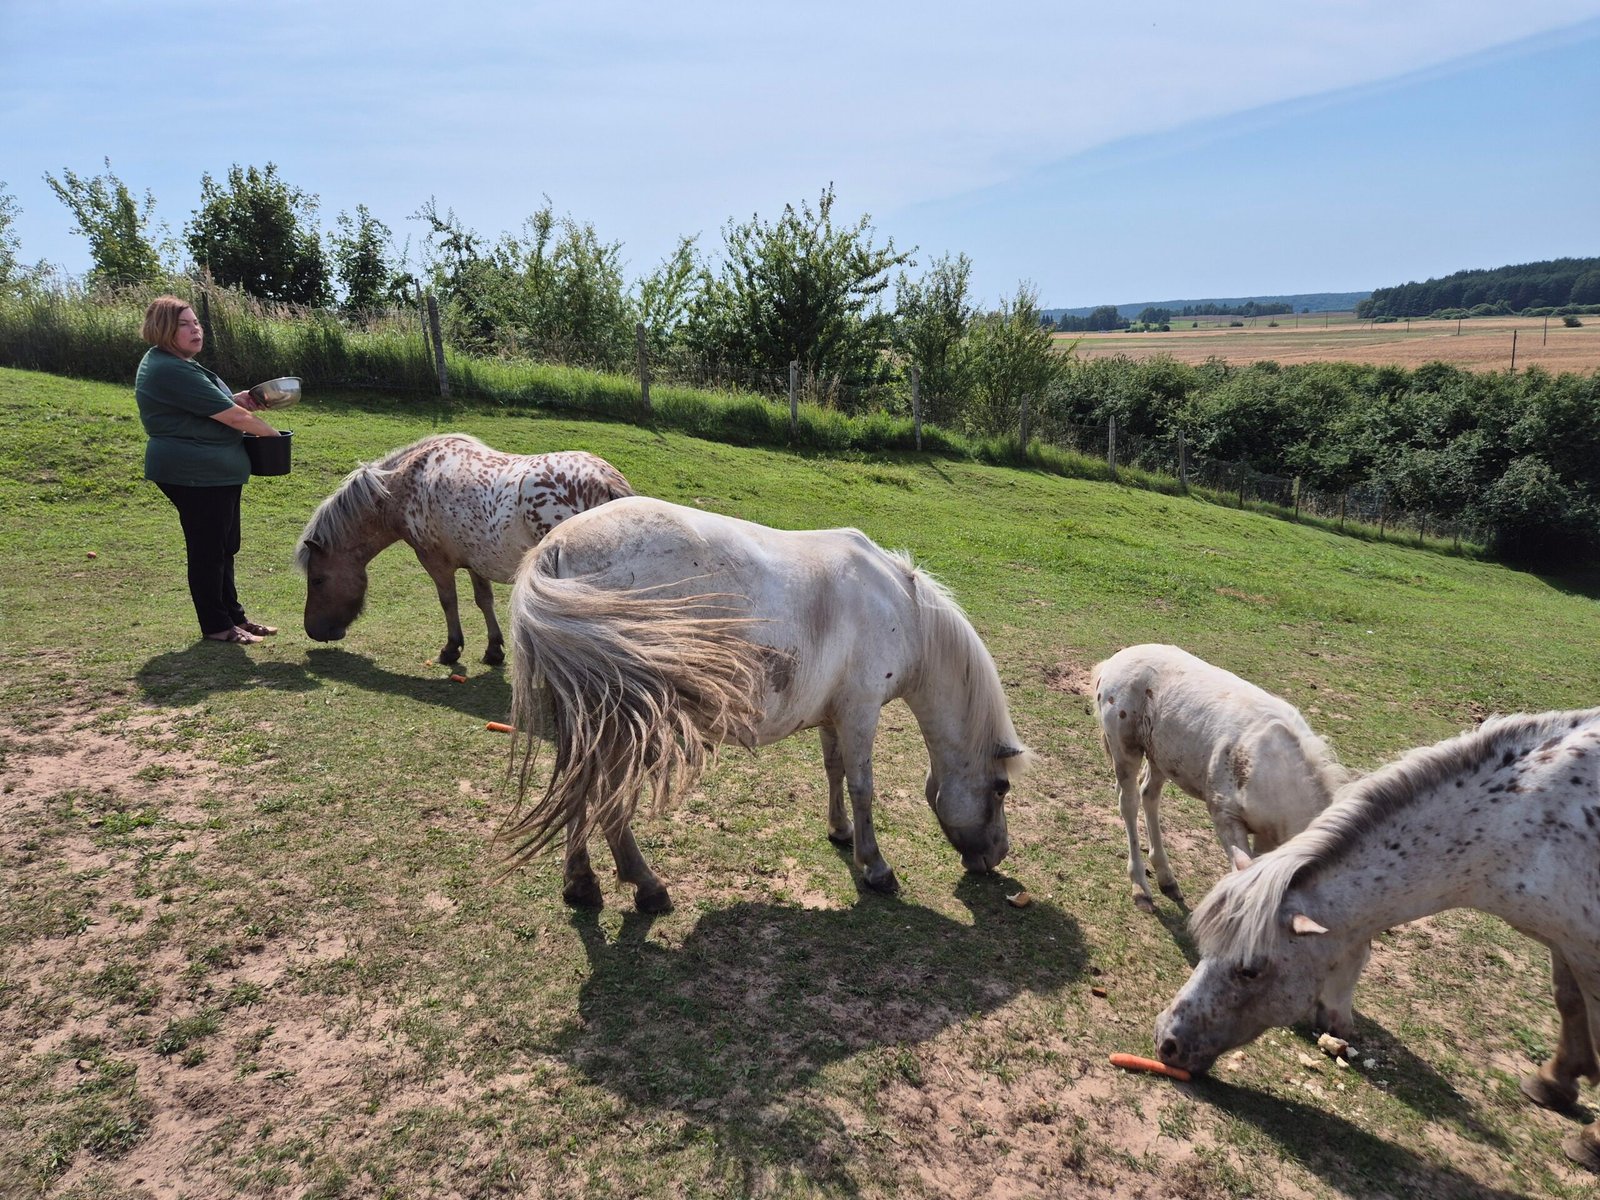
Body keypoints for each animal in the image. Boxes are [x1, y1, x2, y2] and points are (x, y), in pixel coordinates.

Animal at [295, 434, 633, 664]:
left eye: (317, 580)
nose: (313, 630)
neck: (404, 484)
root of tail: (608, 483)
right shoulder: (476, 561)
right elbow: (484, 600)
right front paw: (494, 650)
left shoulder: (435, 561)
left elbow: (448, 602)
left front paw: (451, 648)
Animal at [501, 495, 1031, 913]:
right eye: (1001, 788)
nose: (995, 857)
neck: (904, 608)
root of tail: (555, 546)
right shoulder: (861, 710)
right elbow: (863, 786)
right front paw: (876, 867)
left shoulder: (833, 712)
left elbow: (834, 770)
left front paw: (841, 832)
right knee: (606, 795)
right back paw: (646, 885)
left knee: (579, 785)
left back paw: (581, 882)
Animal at [1091, 643, 1350, 912]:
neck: (1275, 775)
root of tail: (1114, 660)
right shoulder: (1224, 814)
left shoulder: (1268, 836)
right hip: (1125, 747)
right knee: (1129, 802)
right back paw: (1141, 888)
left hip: (1161, 755)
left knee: (1148, 795)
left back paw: (1167, 878)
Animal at [1153, 707, 1600, 1172]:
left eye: (1250, 970)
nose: (1166, 1040)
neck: (1528, 821)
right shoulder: (1566, 939)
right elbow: (1568, 1000)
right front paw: (1554, 1082)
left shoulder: (1584, 947)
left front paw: (1589, 1140)